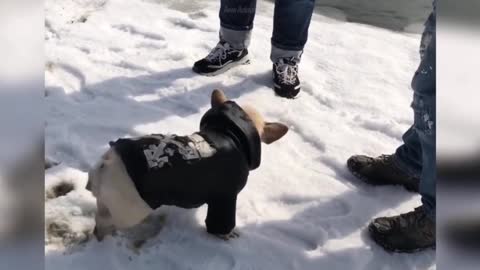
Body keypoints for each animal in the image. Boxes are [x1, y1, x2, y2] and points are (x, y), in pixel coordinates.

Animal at [85, 89, 288, 242]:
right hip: (130, 208)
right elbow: (221, 222)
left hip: (111, 202)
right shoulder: (226, 197)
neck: (229, 133)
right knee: (107, 221)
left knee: (101, 215)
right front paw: (227, 235)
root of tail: (106, 163)